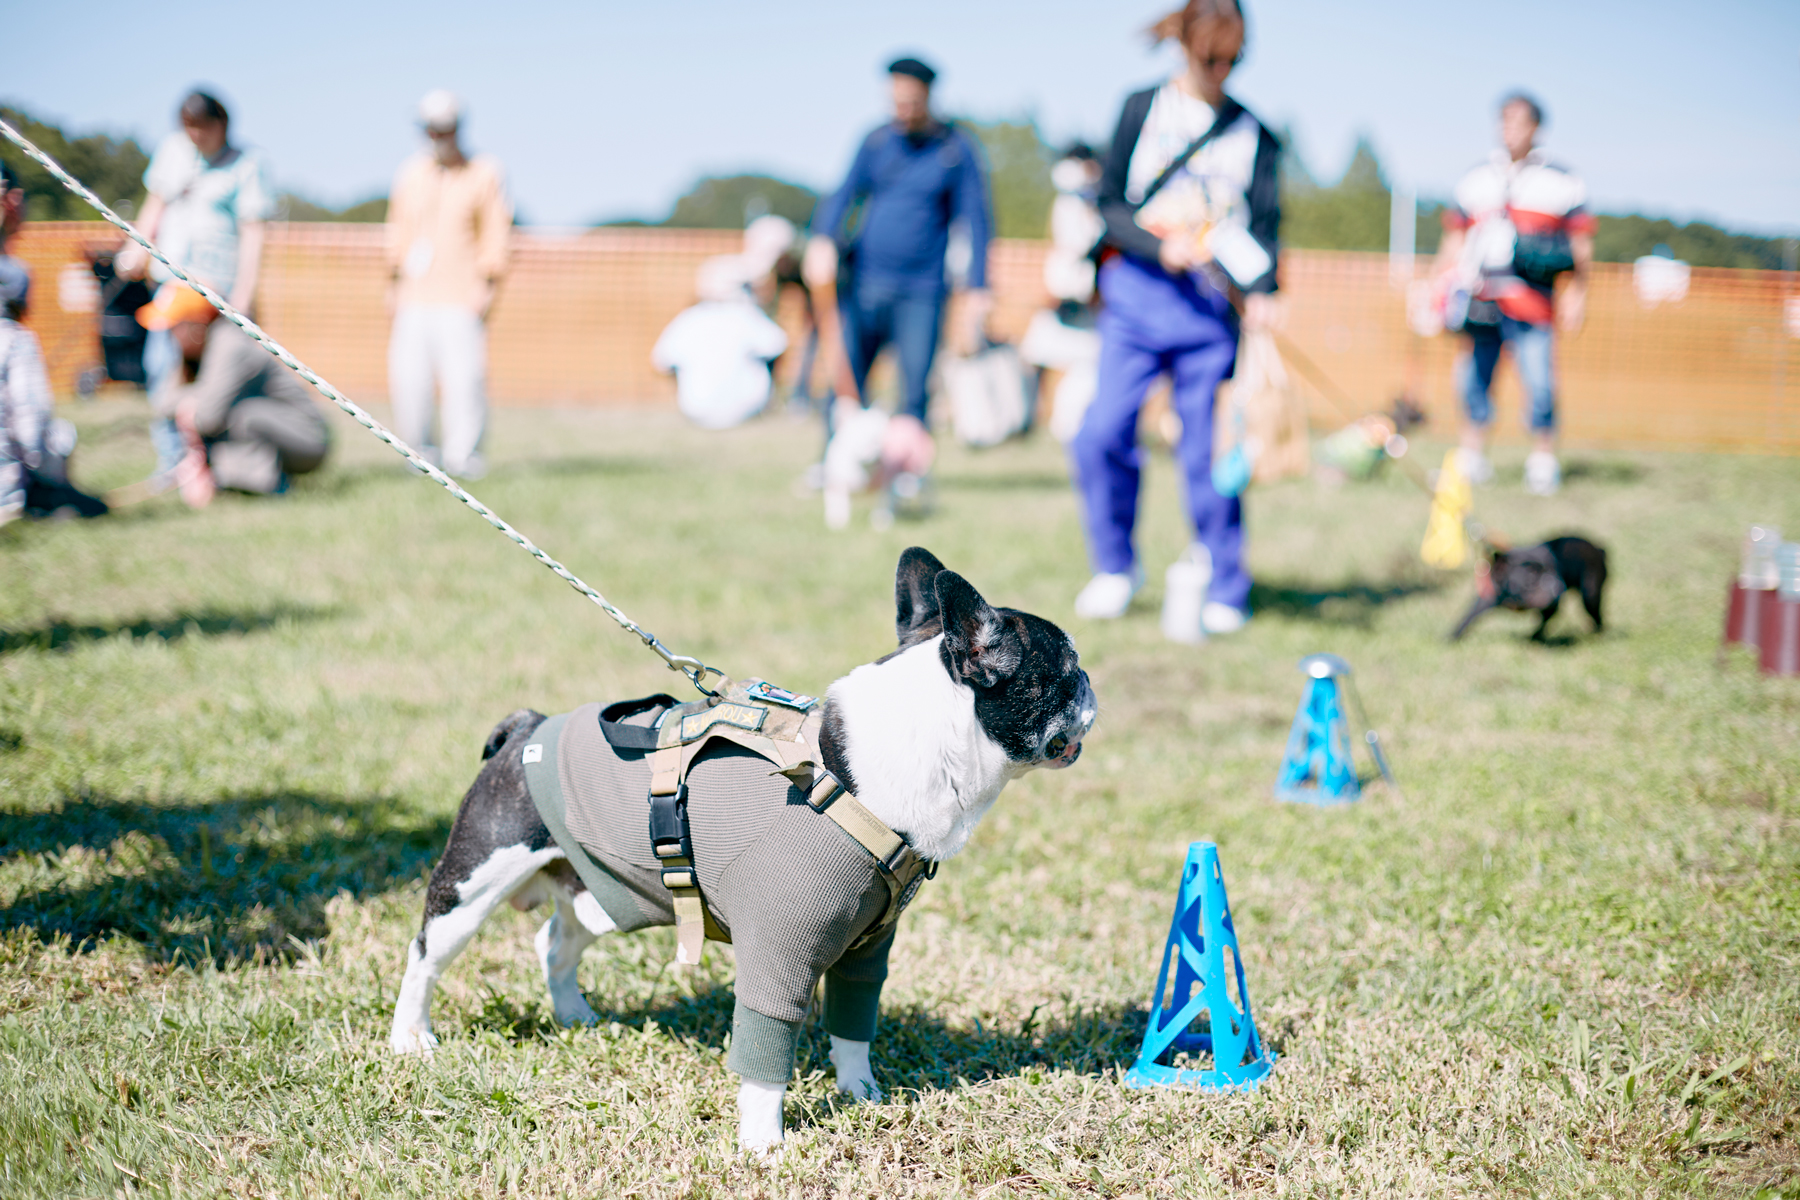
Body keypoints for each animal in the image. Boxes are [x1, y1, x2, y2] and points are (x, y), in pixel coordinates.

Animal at [385, 550, 1094, 1151]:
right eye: (1067, 669)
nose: (1091, 680)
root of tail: (527, 727)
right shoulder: (780, 951)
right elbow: (765, 1052)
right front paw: (764, 1147)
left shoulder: (866, 951)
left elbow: (853, 1023)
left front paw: (862, 1094)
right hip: (473, 882)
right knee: (425, 956)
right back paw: (411, 1038)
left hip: (605, 891)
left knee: (555, 939)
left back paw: (575, 1014)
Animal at [1454, 536, 1612, 644]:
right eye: (1531, 577)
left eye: (1554, 572)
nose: (1556, 584)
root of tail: (1597, 549)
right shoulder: (1488, 598)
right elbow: (1468, 617)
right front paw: (1454, 636)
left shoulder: (1552, 605)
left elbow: (1545, 620)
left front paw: (1534, 637)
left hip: (1590, 596)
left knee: (1597, 616)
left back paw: (1597, 633)